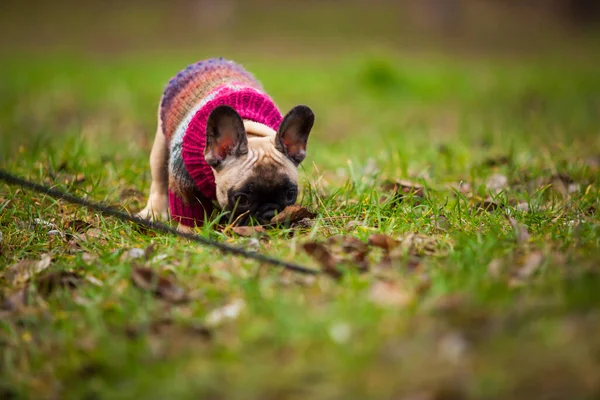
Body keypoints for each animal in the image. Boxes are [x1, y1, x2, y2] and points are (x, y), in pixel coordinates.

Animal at [137, 57, 314, 230]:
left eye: (290, 194)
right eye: (242, 199)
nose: (270, 213)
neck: (251, 131)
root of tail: (211, 60)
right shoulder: (183, 182)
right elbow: (189, 214)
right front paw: (189, 232)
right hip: (160, 147)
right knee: (159, 178)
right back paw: (154, 212)